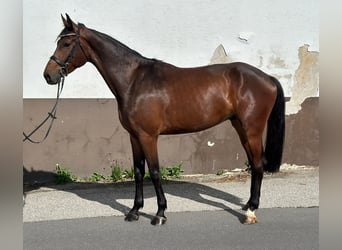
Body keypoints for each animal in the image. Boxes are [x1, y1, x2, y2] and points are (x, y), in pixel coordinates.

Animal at [44, 13, 286, 225]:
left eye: (66, 44)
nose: (48, 75)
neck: (134, 80)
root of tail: (268, 78)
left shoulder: (148, 136)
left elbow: (154, 172)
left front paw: (160, 214)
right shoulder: (134, 137)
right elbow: (139, 172)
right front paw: (134, 211)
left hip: (252, 130)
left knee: (258, 165)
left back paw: (251, 211)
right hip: (240, 128)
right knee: (254, 164)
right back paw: (248, 205)